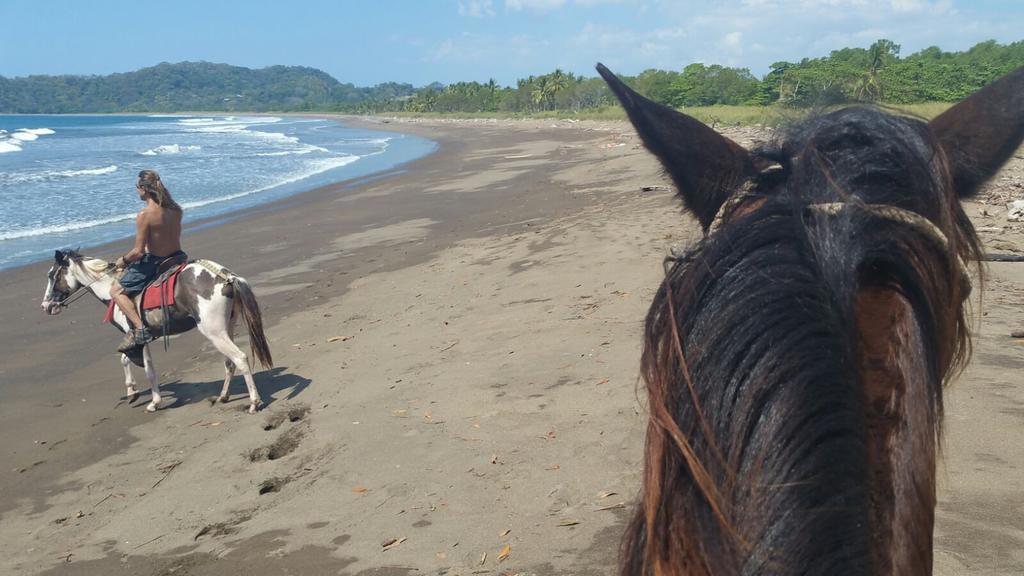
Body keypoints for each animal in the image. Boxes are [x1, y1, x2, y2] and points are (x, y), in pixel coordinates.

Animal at [40, 249, 272, 409]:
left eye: (53, 276)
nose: (46, 306)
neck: (111, 288)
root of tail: (227, 278)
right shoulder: (136, 339)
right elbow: (125, 359)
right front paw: (132, 391)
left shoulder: (137, 337)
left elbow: (148, 370)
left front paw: (154, 402)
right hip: (226, 328)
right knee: (229, 362)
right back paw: (223, 396)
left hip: (214, 332)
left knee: (240, 358)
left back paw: (254, 402)